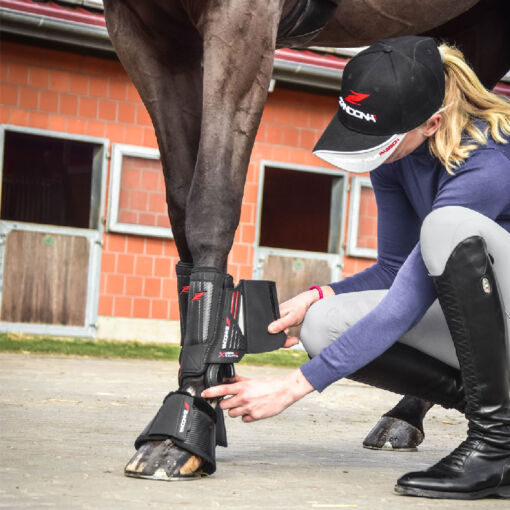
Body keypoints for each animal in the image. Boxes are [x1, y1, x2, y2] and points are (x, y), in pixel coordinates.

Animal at [101, 0, 510, 478]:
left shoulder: (242, 23)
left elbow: (211, 201)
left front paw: (182, 427)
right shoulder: (144, 33)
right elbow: (182, 207)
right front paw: (204, 406)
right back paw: (406, 417)